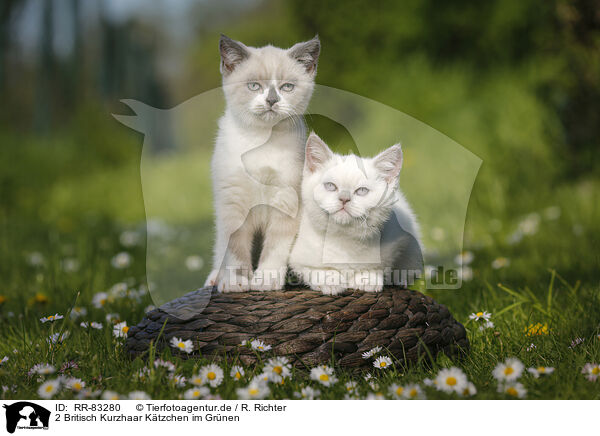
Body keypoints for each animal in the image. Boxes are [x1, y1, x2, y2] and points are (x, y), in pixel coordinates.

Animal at [205, 35, 322, 292]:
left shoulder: (288, 200)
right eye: (254, 86)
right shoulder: (233, 203)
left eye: (287, 87)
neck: (261, 140)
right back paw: (215, 278)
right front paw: (236, 282)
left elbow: (276, 246)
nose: (271, 100)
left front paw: (266, 279)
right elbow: (235, 249)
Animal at [290, 132, 422, 296]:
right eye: (330, 186)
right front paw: (330, 279)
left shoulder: (402, 240)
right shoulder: (298, 255)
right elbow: (312, 268)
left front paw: (367, 278)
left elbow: (385, 266)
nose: (344, 198)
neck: (344, 239)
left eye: (362, 191)